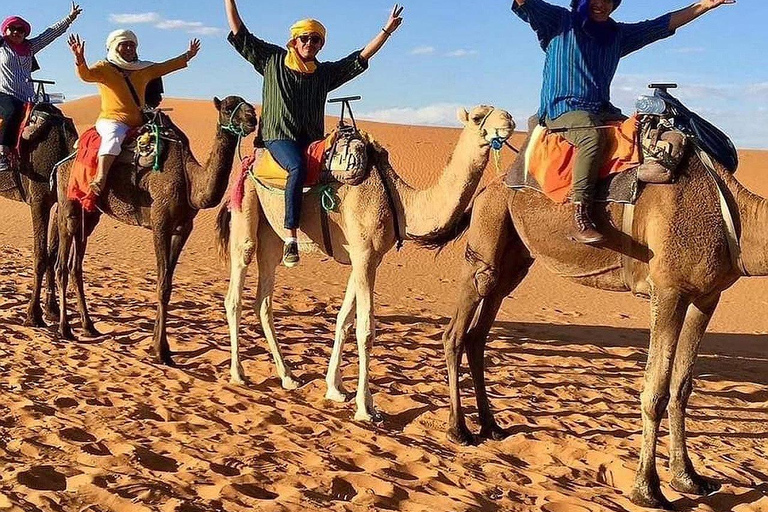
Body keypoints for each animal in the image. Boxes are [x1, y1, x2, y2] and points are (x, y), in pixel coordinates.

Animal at [0, 102, 79, 326]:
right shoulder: (38, 201)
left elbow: (51, 253)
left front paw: (51, 309)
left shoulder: (58, 204)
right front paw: (33, 315)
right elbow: (41, 256)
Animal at [55, 96, 258, 366]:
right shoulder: (160, 223)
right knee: (62, 264)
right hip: (69, 204)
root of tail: (63, 161)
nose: (252, 118)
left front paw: (159, 346)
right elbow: (162, 285)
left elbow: (168, 283)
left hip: (91, 215)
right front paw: (161, 351)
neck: (189, 180)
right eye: (227, 108)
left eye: (248, 105)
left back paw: (89, 327)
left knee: (75, 265)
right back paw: (65, 329)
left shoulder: (183, 228)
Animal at [216, 106, 516, 422]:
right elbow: (365, 329)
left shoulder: (365, 257)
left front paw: (335, 389)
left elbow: (343, 321)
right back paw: (238, 373)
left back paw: (287, 376)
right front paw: (365, 407)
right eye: (478, 117)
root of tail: (249, 161)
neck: (398, 200)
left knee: (263, 300)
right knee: (235, 292)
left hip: (272, 236)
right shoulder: (364, 255)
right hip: (246, 207)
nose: (508, 120)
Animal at [438, 133, 768, 508]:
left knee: (478, 333)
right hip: (488, 233)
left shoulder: (706, 297)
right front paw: (647, 489)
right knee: (458, 328)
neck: (737, 220)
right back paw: (459, 429)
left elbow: (682, 388)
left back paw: (491, 426)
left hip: (515, 259)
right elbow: (655, 390)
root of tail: (486, 190)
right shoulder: (667, 290)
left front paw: (688, 478)